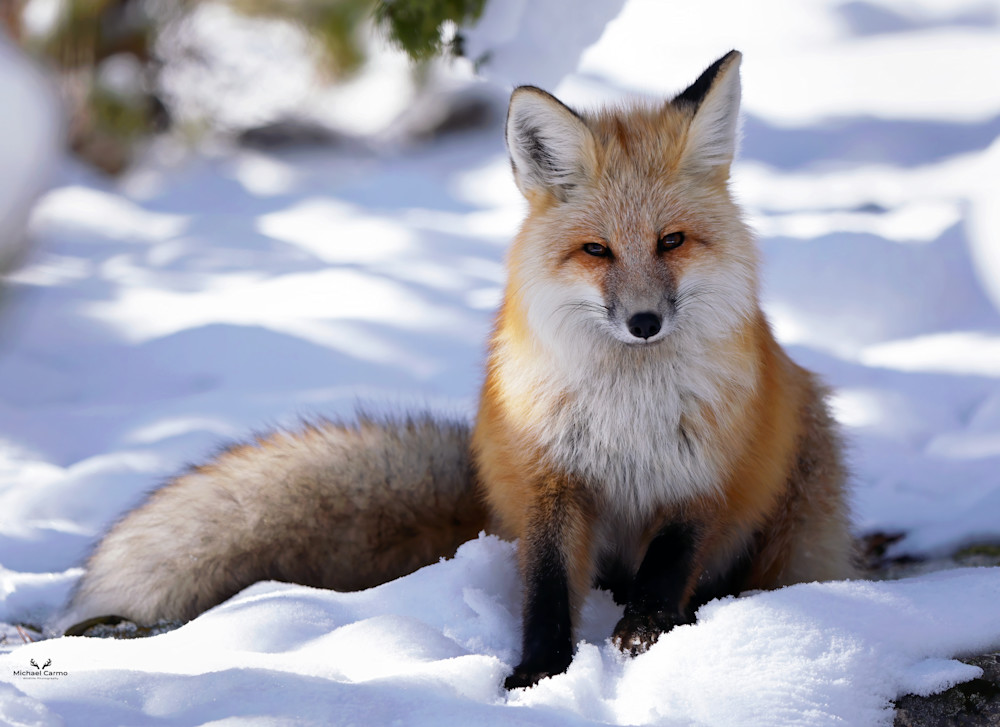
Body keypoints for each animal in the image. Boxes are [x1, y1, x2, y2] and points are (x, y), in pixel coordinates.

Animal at [62, 51, 855, 689]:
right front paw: (538, 675)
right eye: (597, 250)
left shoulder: (704, 480)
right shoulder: (547, 482)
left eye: (672, 241)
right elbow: (546, 592)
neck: (627, 411)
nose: (644, 323)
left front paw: (642, 637)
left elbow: (665, 572)